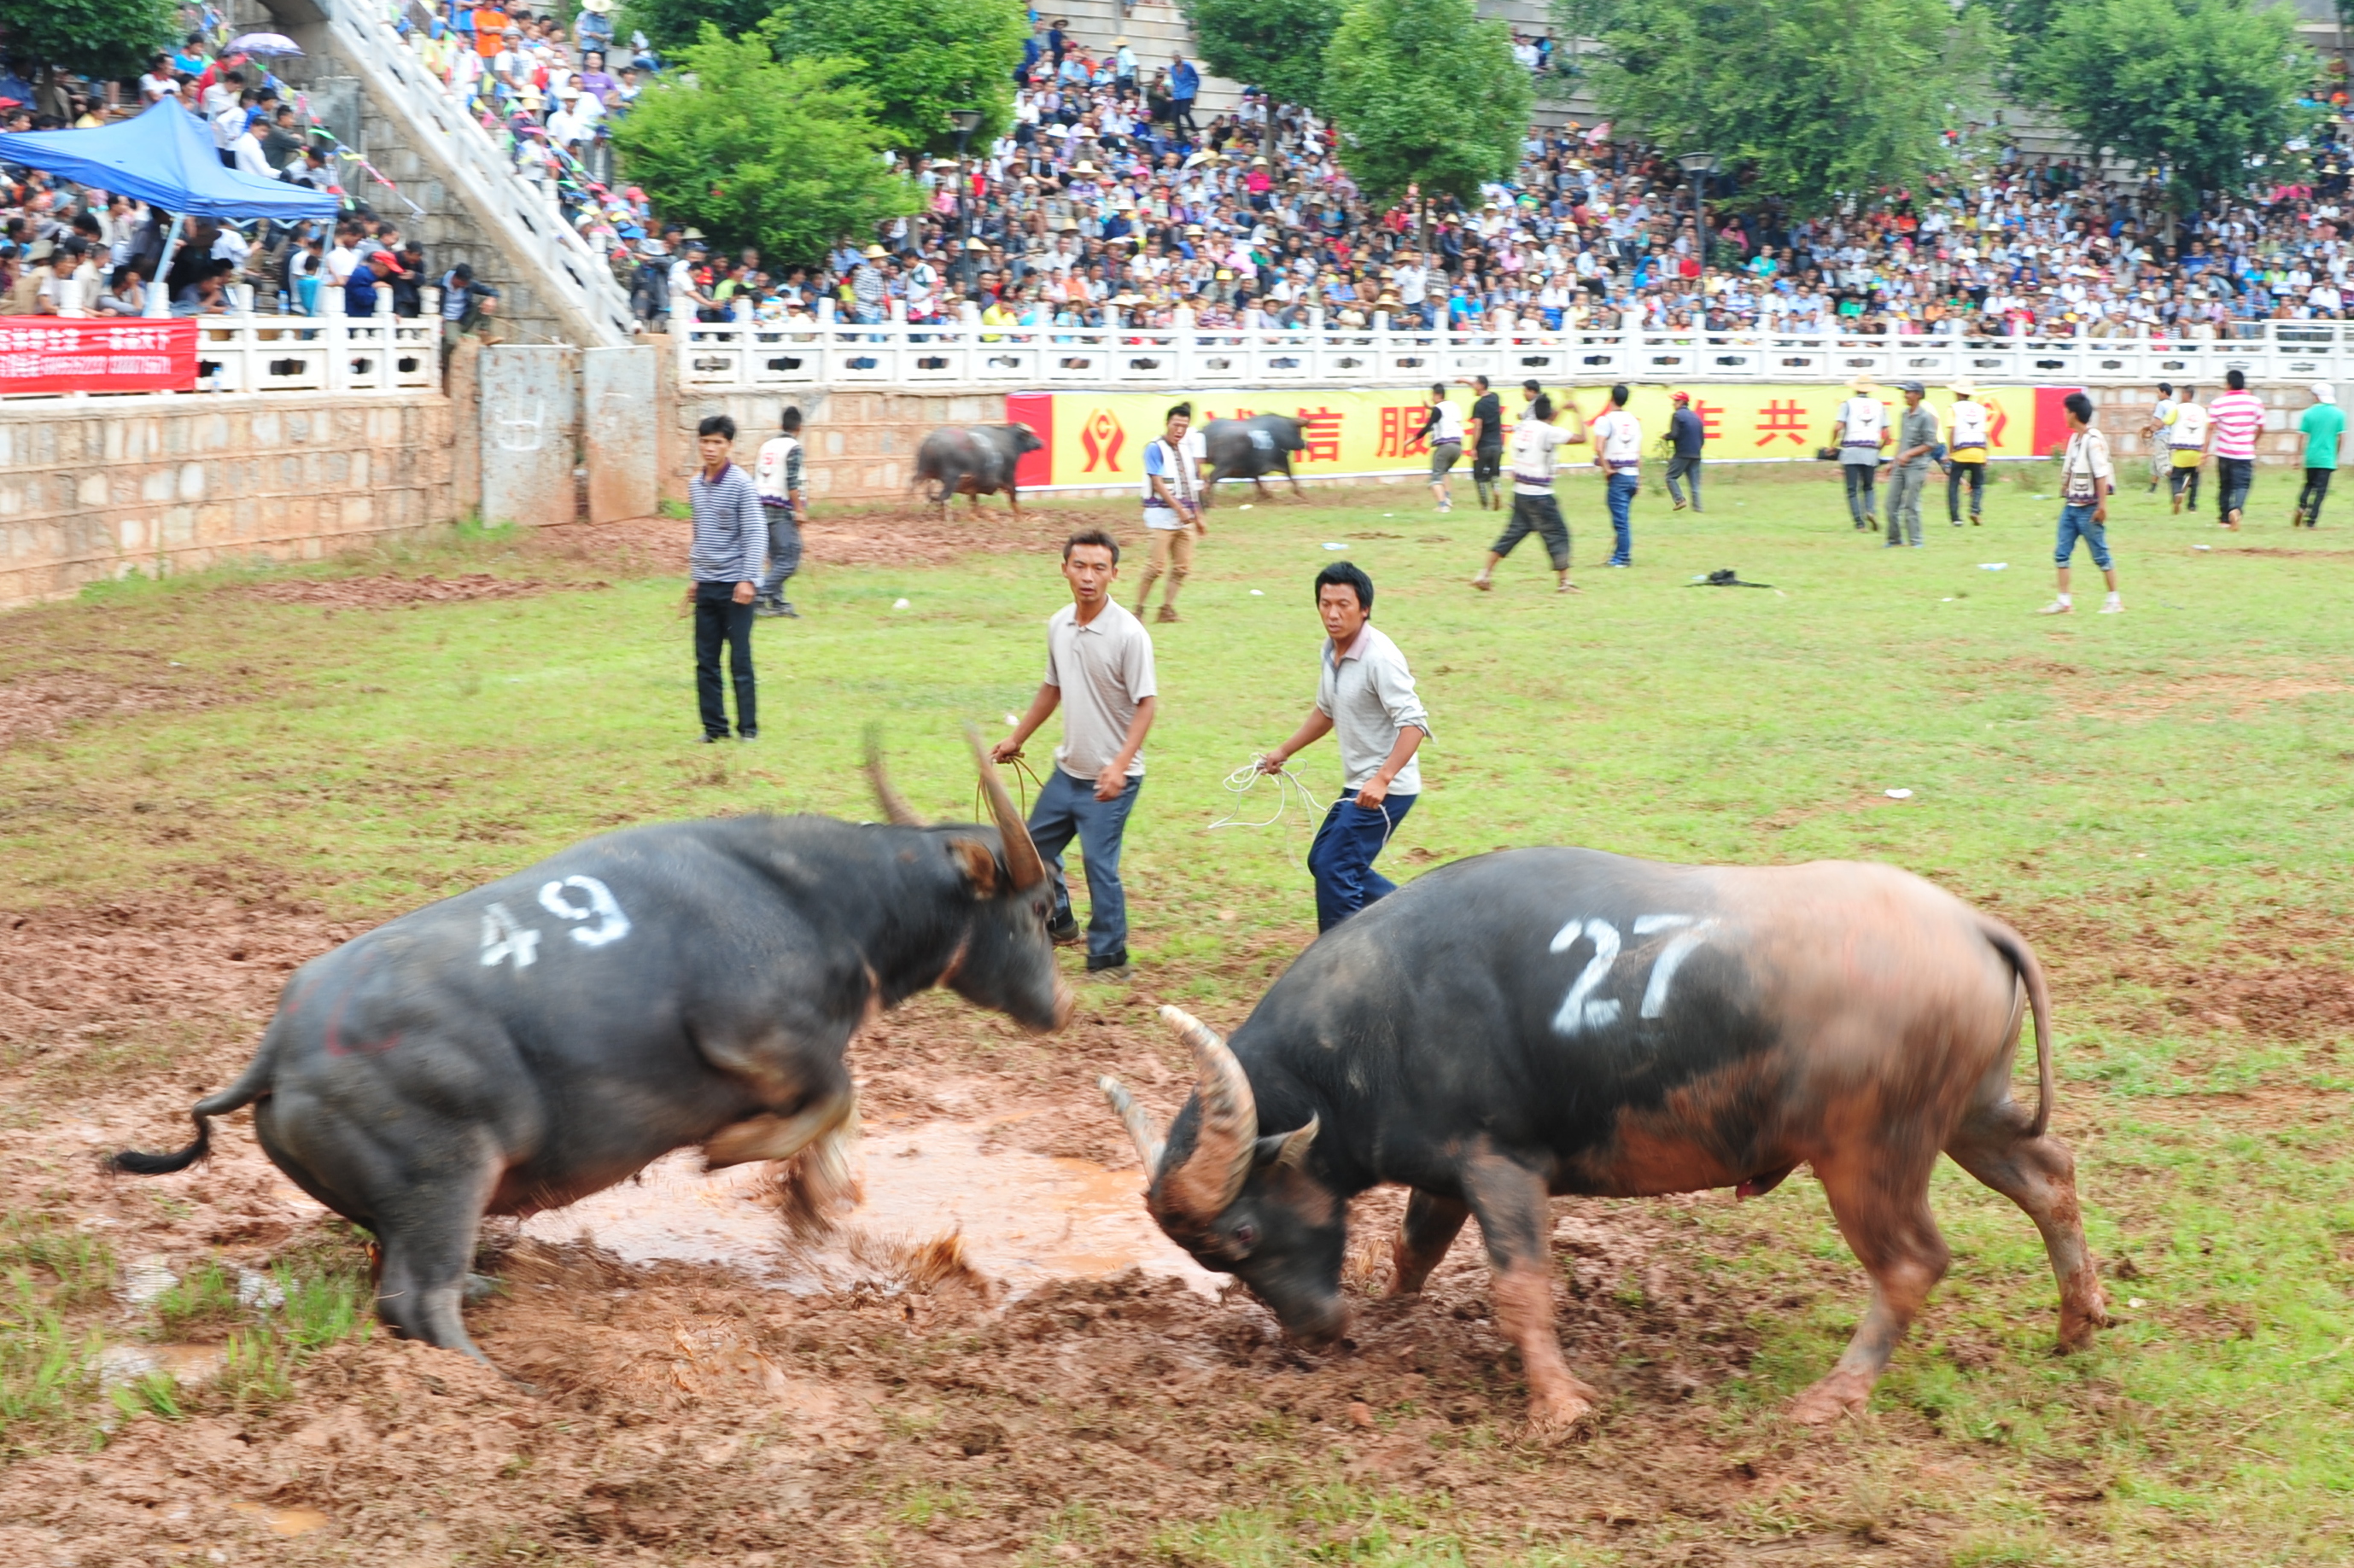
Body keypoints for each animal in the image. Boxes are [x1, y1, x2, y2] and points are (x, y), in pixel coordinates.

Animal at [110, 734, 1068, 1355]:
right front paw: (732, 1153)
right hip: (444, 1182)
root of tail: (279, 1048)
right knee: (417, 1301)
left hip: (402, 1206)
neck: (825, 902)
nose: (1058, 1006)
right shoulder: (765, 1040)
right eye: (1032, 909)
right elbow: (835, 1093)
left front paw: (815, 1205)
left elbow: (836, 1121)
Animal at [908, 421, 1040, 517]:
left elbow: (974, 502)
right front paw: (1020, 516)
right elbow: (1014, 497)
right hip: (950, 478)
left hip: (923, 471)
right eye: (1030, 435)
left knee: (915, 486)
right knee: (943, 496)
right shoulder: (1009, 477)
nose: (1040, 442)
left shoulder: (973, 487)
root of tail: (933, 441)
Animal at [1101, 842, 2118, 1431]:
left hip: (1871, 1156)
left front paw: (1559, 1407)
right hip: (1973, 1115)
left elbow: (1520, 1288)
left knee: (1912, 1261)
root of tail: (1973, 925)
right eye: (1210, 1257)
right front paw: (1392, 1314)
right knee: (2050, 1175)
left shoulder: (1502, 1168)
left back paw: (1830, 1397)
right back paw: (2077, 1320)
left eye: (1239, 1234)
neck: (1381, 1018)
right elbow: (1412, 1250)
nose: (1315, 1330)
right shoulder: (1447, 1169)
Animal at [1205, 411, 1317, 504]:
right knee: (1210, 478)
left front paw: (1266, 494)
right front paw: (1301, 494)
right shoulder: (1281, 461)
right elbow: (1290, 476)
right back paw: (1209, 501)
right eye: (1297, 431)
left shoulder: (1253, 467)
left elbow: (1257, 480)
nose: (1306, 444)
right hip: (1224, 467)